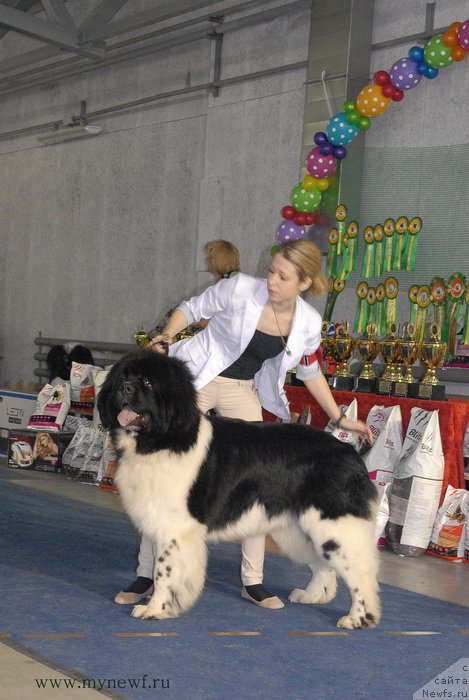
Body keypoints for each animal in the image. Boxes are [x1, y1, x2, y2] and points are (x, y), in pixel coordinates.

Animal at [99, 350, 380, 628]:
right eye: (122, 377)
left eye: (147, 382)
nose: (124, 388)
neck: (165, 439)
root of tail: (349, 451)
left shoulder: (176, 529)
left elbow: (163, 572)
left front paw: (155, 609)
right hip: (298, 530)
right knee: (325, 565)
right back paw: (312, 596)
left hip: (335, 524)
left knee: (361, 571)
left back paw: (358, 618)